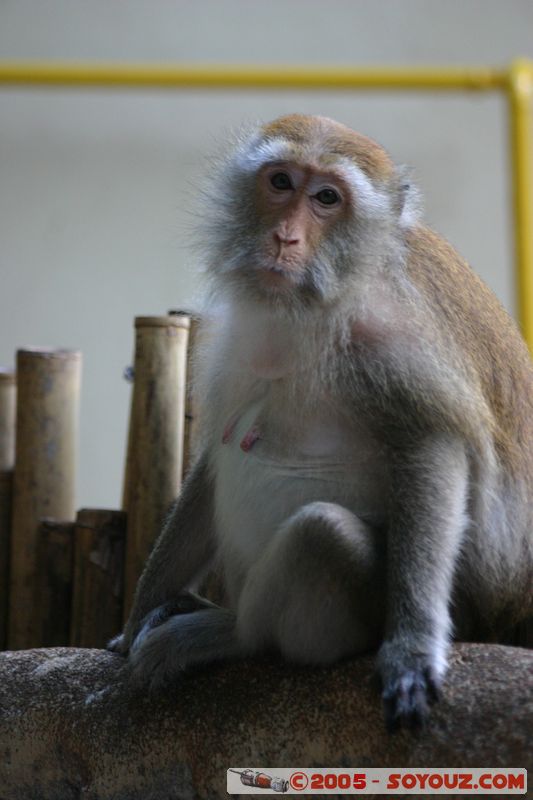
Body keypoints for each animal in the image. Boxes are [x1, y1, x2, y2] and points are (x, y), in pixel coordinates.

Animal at [109, 114, 533, 731]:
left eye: (327, 198)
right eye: (281, 182)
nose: (285, 238)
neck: (314, 301)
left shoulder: (389, 338)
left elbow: (432, 446)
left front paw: (411, 646)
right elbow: (214, 460)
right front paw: (138, 615)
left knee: (322, 534)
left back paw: (231, 635)